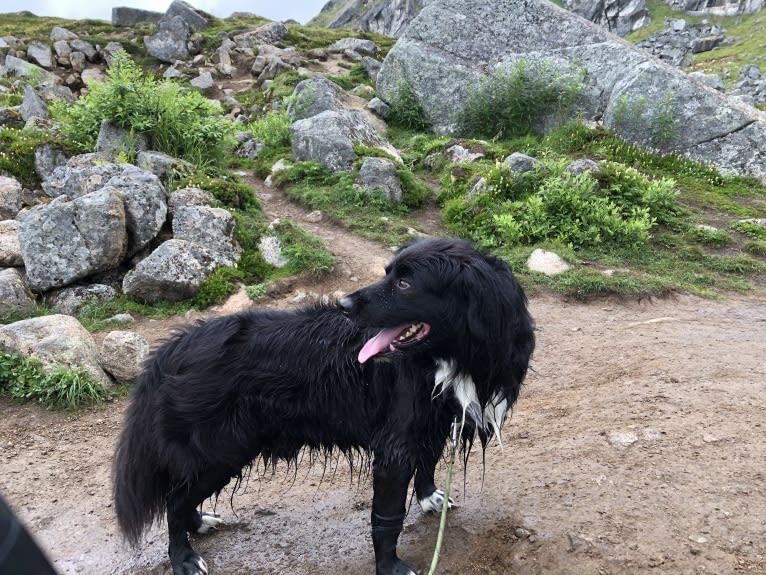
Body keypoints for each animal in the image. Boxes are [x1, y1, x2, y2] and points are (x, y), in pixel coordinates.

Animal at [112, 236, 536, 572]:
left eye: (404, 283)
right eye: (388, 273)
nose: (345, 304)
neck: (451, 357)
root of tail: (174, 346)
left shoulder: (433, 423)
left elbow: (428, 463)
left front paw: (429, 496)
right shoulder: (395, 444)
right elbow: (388, 517)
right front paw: (390, 566)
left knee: (182, 497)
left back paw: (196, 524)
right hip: (221, 449)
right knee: (174, 499)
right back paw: (183, 556)